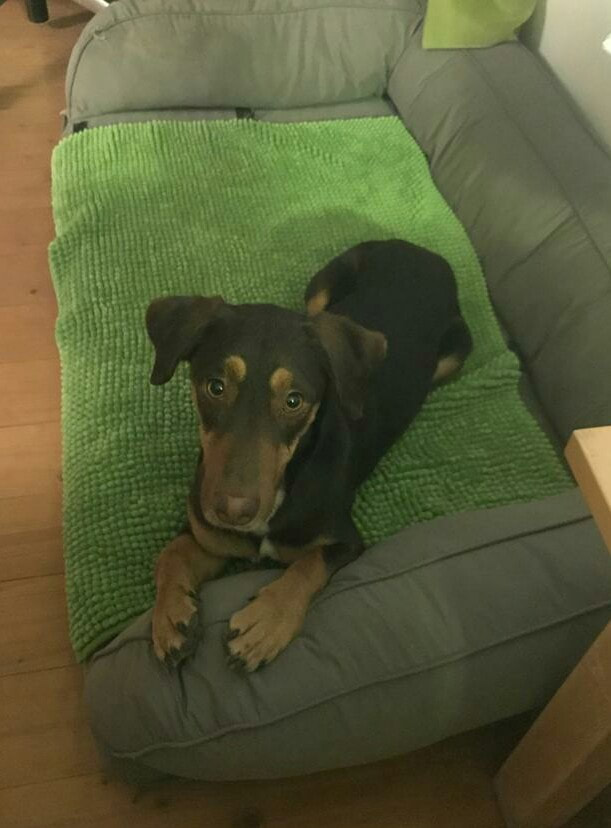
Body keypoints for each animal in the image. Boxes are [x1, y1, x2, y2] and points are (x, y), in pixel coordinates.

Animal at [146, 239, 472, 671]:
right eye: (215, 387)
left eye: (294, 400)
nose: (233, 511)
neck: (290, 477)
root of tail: (419, 249)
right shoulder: (210, 536)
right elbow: (170, 553)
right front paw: (170, 619)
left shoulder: (345, 541)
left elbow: (308, 565)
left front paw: (265, 624)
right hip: (321, 288)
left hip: (456, 352)